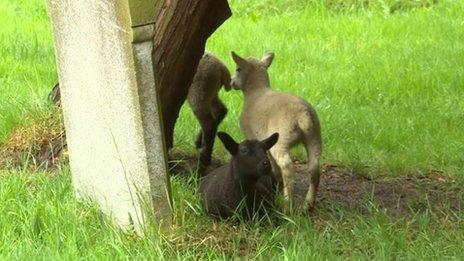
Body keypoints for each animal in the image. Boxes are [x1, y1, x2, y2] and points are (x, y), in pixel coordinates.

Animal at [229, 51, 322, 211]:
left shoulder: (253, 135)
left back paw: (287, 203)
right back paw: (308, 204)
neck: (256, 91)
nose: (231, 82)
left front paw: (275, 181)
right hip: (314, 136)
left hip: (282, 139)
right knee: (314, 168)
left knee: (287, 167)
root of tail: (302, 114)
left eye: (238, 69)